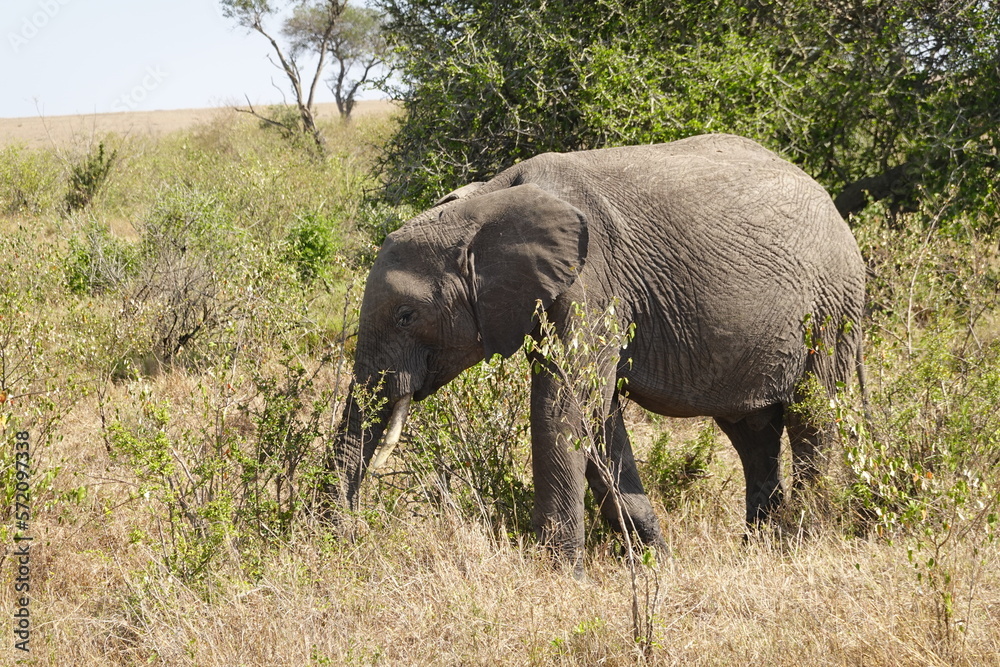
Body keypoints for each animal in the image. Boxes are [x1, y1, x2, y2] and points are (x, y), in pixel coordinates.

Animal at [328, 132, 868, 576]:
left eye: (405, 316)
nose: (346, 542)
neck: (488, 200)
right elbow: (597, 418)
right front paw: (656, 566)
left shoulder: (593, 283)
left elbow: (562, 408)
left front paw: (563, 578)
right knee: (753, 432)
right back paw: (760, 552)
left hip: (831, 307)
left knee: (813, 416)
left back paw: (802, 545)